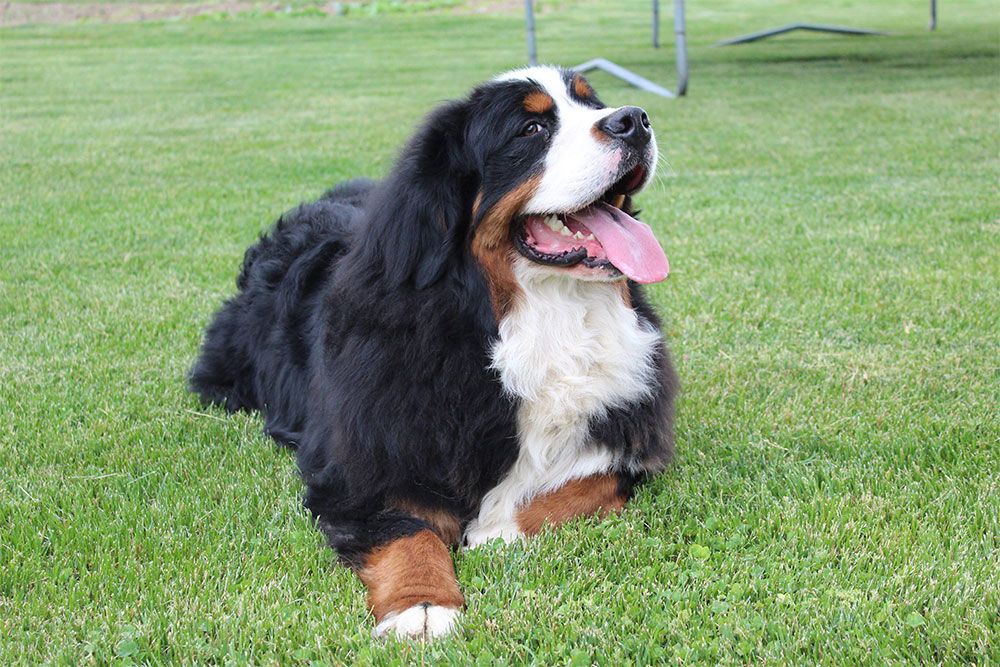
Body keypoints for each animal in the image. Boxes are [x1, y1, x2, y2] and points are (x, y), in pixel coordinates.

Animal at [189, 65, 680, 640]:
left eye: (592, 103)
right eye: (531, 130)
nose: (634, 120)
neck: (535, 319)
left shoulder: (628, 429)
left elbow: (590, 482)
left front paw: (497, 528)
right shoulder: (361, 459)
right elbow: (405, 531)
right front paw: (421, 605)